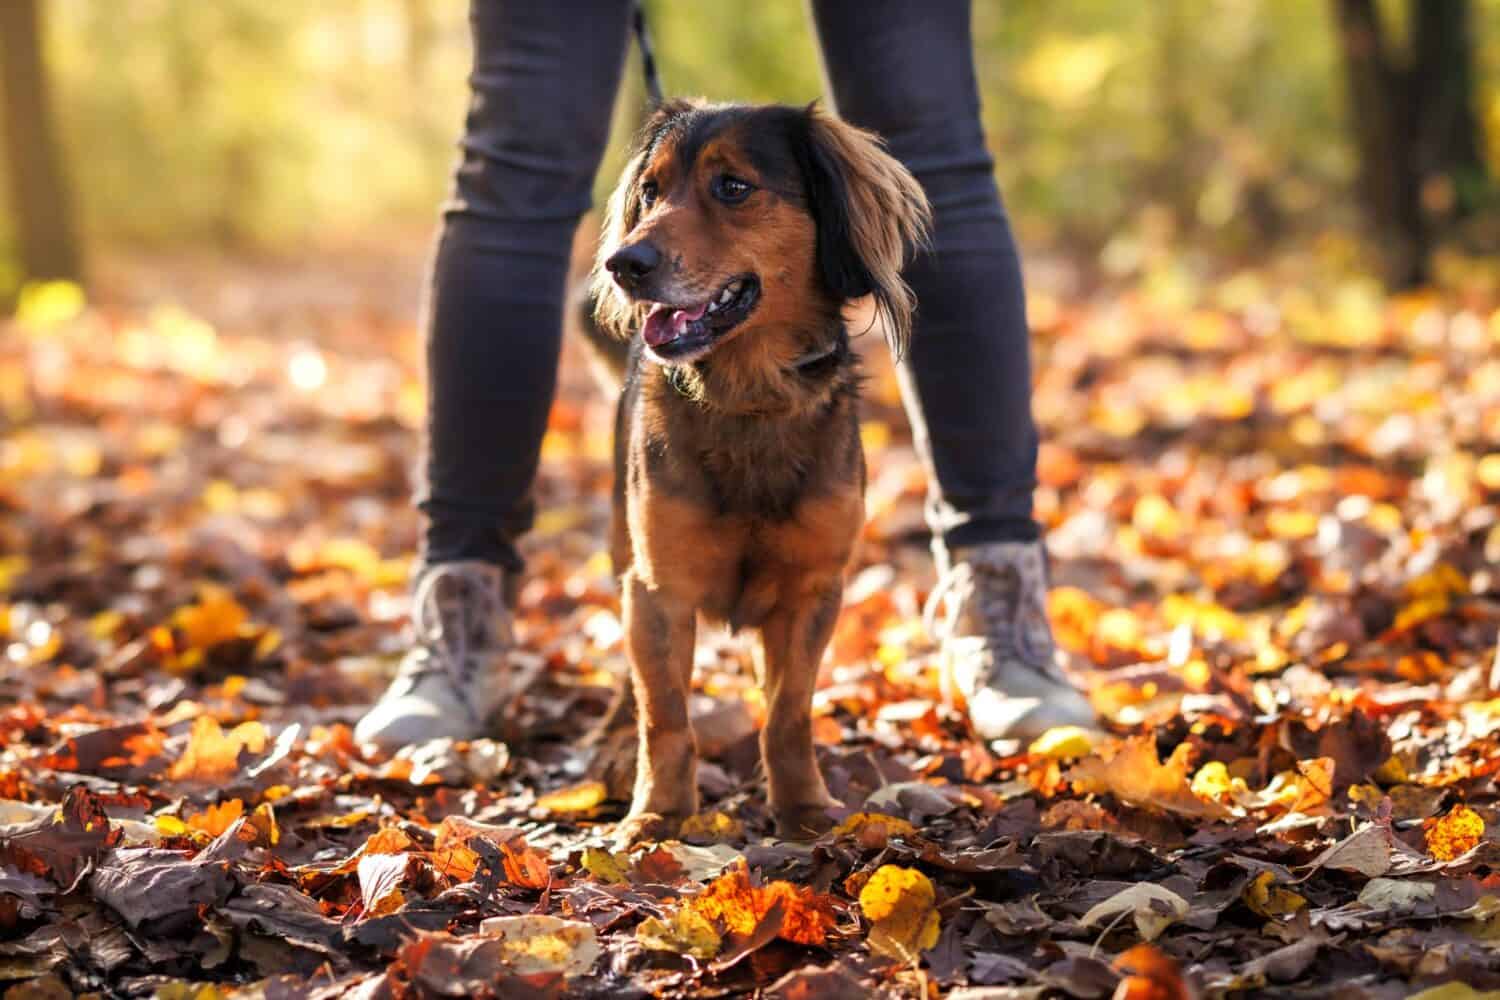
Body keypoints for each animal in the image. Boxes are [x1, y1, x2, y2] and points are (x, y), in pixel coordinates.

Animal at [594, 101, 924, 839]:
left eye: (734, 187)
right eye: (651, 191)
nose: (623, 263)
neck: (749, 398)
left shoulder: (812, 590)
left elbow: (788, 711)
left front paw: (804, 808)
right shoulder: (658, 590)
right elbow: (665, 715)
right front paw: (659, 814)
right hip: (624, 551)